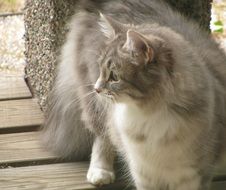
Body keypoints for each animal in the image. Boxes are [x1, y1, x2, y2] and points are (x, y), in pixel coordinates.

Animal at [42, 0, 226, 189]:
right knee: (102, 135)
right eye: (102, 69)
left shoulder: (195, 174)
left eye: (114, 77)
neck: (150, 115)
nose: (97, 88)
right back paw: (100, 172)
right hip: (97, 105)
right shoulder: (143, 172)